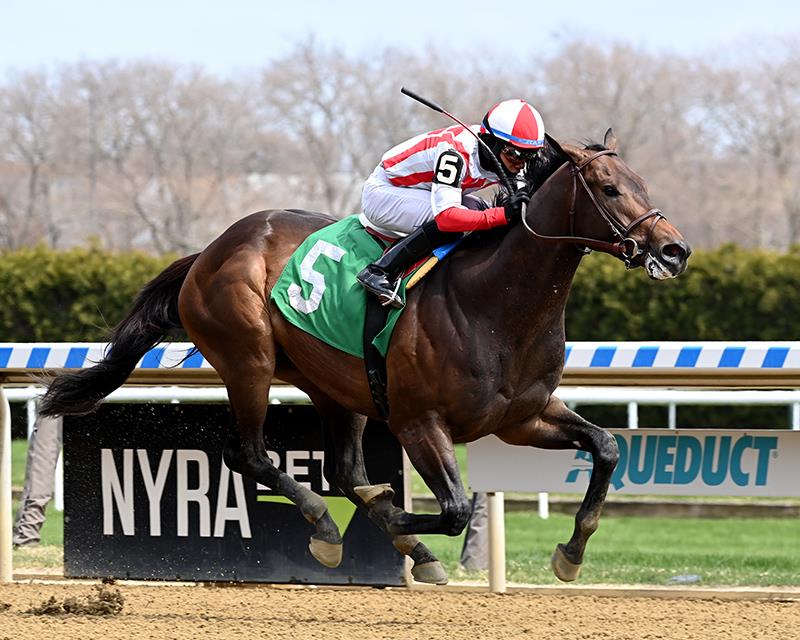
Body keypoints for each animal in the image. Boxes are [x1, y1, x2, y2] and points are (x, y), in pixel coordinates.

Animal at [40, 129, 691, 585]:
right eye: (609, 189)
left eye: (644, 184)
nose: (673, 250)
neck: (494, 304)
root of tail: (210, 250)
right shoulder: (418, 421)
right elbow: (454, 507)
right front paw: (398, 520)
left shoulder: (520, 418)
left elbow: (606, 447)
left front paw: (571, 554)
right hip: (249, 361)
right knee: (250, 454)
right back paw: (330, 528)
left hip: (333, 385)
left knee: (343, 470)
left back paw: (400, 545)